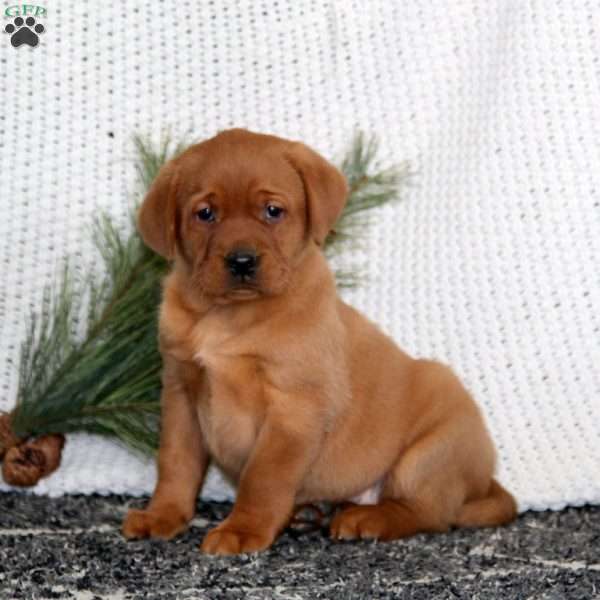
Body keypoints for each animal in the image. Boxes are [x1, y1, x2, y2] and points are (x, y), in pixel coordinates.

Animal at [122, 129, 516, 556]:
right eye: (206, 213)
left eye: (273, 211)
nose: (242, 261)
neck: (228, 317)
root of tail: (485, 482)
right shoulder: (181, 393)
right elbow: (175, 464)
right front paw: (162, 515)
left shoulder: (294, 407)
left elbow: (263, 477)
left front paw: (243, 528)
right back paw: (313, 513)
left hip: (430, 449)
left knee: (427, 512)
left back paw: (365, 519)